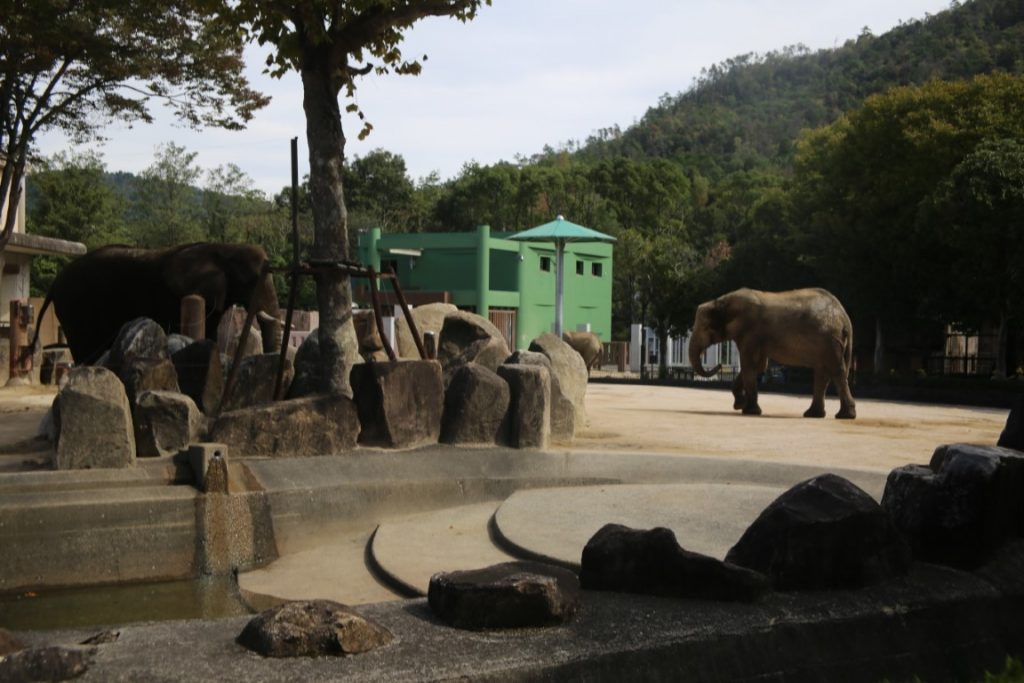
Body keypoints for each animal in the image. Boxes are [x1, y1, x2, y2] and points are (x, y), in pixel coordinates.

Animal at [688, 287, 856, 419]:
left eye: (706, 327)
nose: (720, 364)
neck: (722, 301)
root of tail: (844, 315)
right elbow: (759, 366)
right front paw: (740, 406)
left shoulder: (750, 332)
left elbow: (750, 365)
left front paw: (749, 411)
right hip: (828, 343)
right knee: (823, 373)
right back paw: (814, 414)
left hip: (829, 340)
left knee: (835, 371)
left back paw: (844, 416)